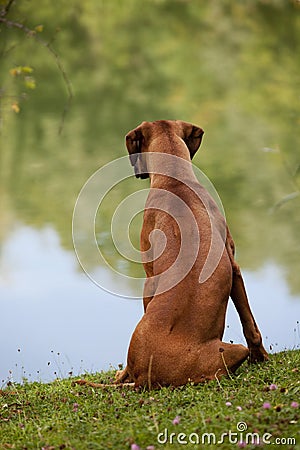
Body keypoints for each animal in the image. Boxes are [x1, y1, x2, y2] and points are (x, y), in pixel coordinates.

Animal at [116, 119, 268, 386]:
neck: (175, 180)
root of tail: (145, 375)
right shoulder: (234, 267)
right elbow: (250, 323)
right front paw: (262, 358)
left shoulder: (149, 279)